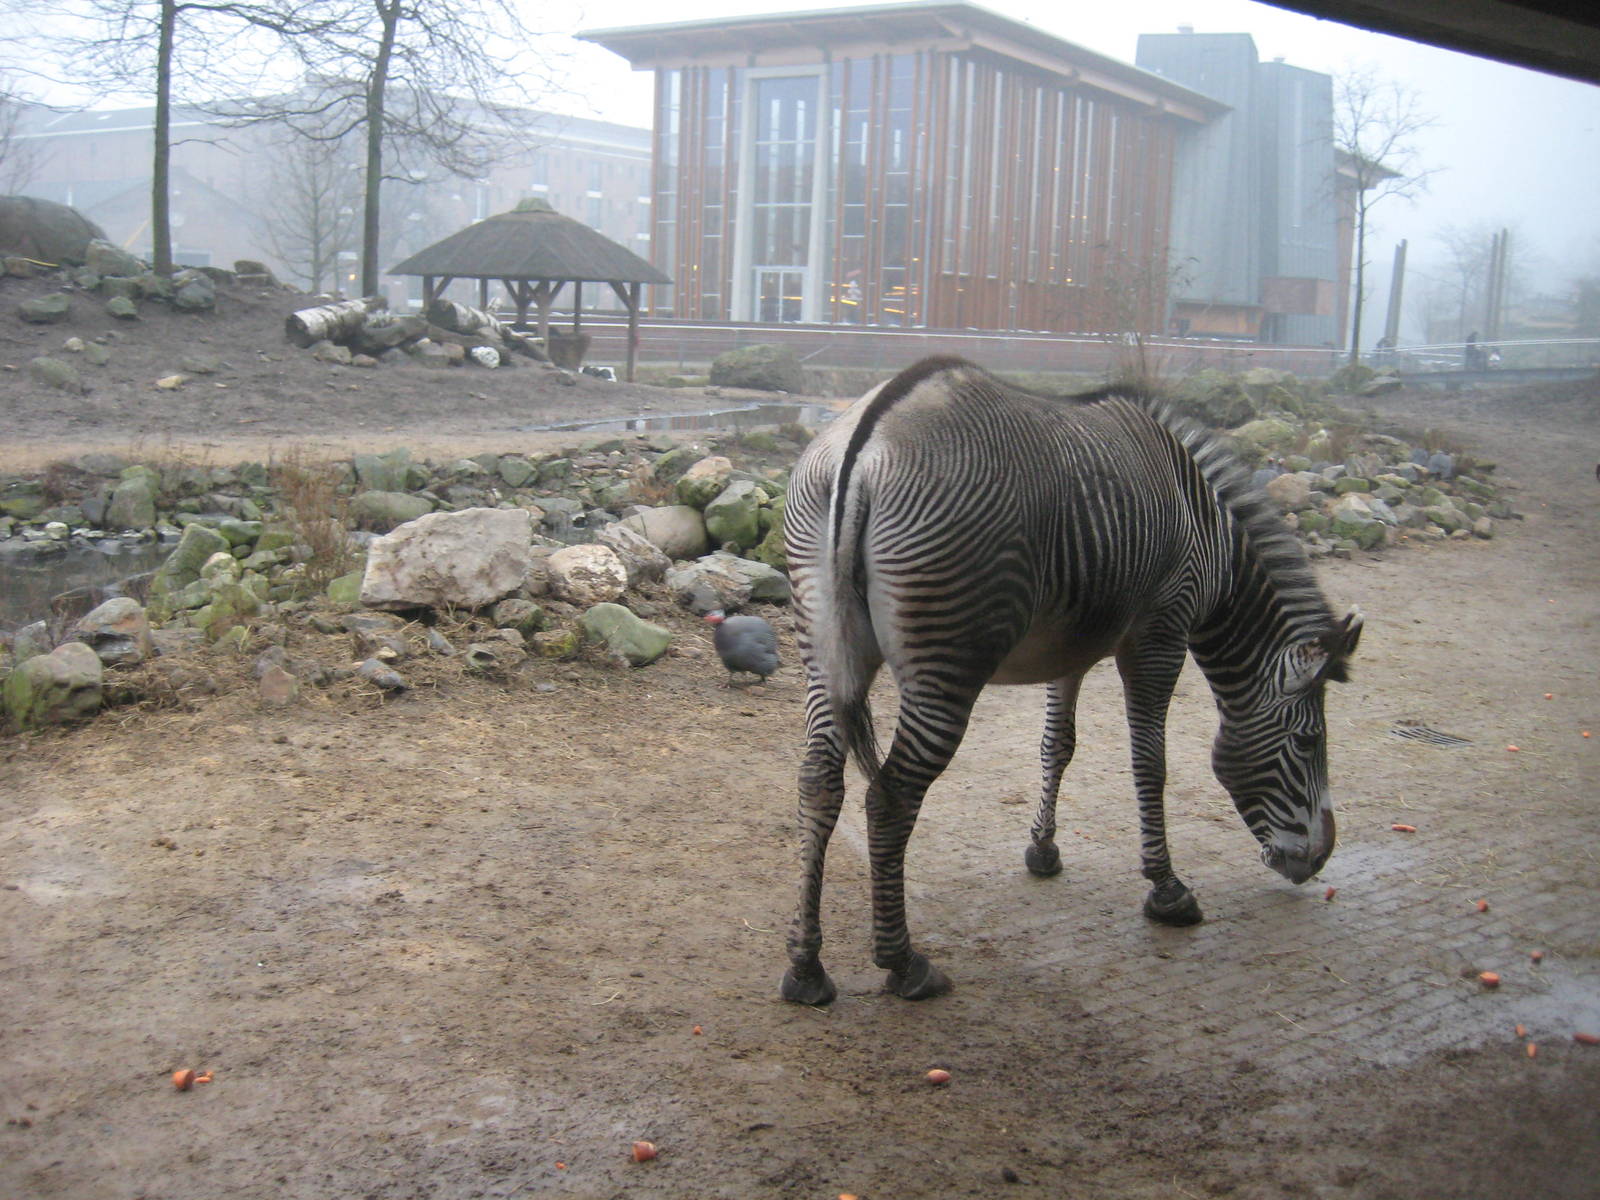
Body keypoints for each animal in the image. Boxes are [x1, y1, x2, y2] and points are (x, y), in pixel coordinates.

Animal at [780, 356, 1361, 1006]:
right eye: (1309, 742)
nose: (1318, 859)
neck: (1206, 525)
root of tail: (870, 437)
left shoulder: (1072, 648)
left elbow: (1057, 746)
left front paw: (1043, 849)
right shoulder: (1161, 632)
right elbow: (1150, 762)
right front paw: (1166, 889)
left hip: (827, 651)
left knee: (818, 782)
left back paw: (806, 969)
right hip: (947, 666)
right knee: (890, 796)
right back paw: (905, 964)